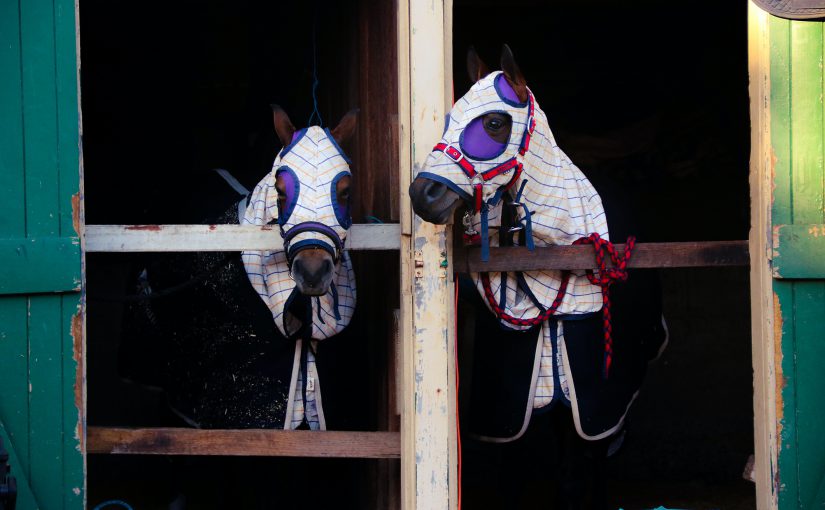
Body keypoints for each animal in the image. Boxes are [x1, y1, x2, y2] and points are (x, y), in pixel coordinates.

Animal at [408, 45, 668, 508]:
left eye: (494, 123)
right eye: (450, 116)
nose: (424, 195)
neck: (557, 250)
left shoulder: (591, 406)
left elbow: (577, 473)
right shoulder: (513, 411)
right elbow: (512, 477)